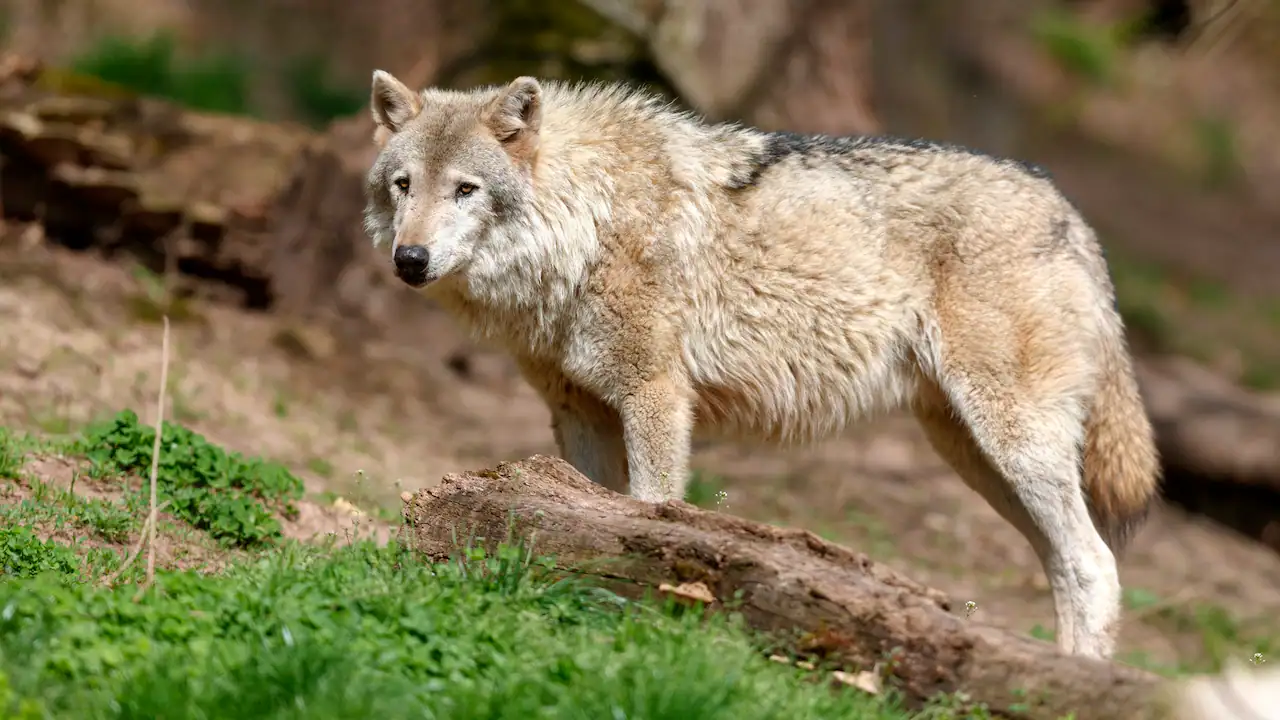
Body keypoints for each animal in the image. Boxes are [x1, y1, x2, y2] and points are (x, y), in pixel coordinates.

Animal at [361, 70, 1161, 659]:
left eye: (466, 189)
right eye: (404, 185)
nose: (410, 259)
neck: (585, 223)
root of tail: (1070, 211)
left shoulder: (655, 397)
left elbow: (649, 515)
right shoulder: (579, 414)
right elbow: (590, 519)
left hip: (1011, 441)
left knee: (1094, 564)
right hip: (974, 456)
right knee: (1069, 565)